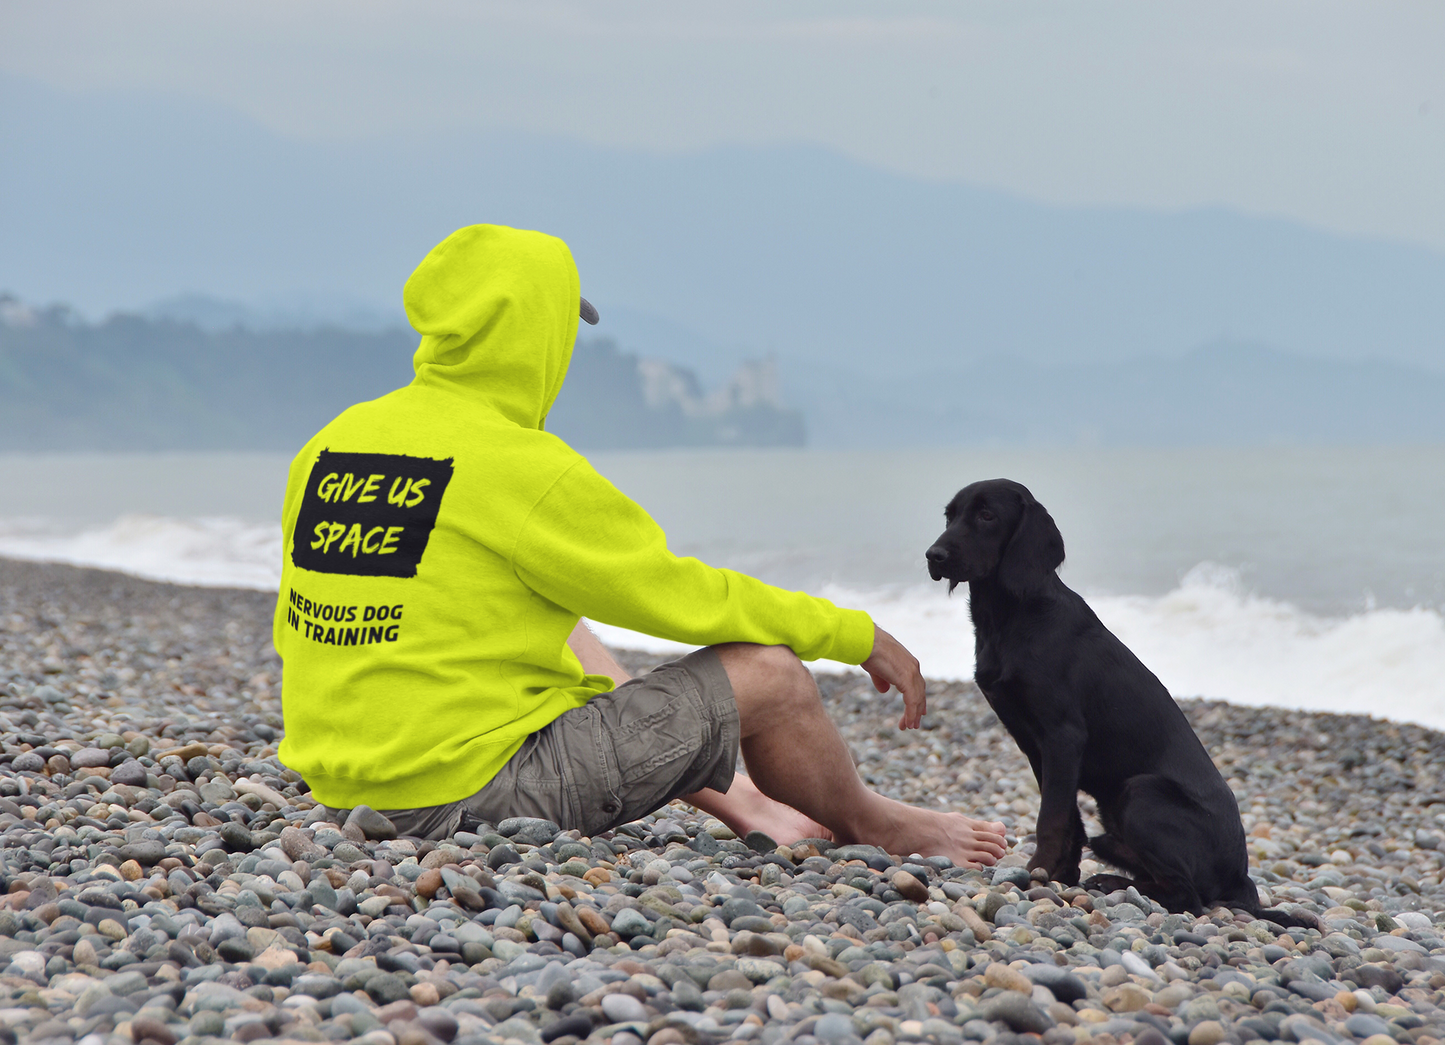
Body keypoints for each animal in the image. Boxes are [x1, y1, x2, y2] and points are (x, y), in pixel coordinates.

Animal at [924, 476, 1312, 925]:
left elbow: (1051, 817)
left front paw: (1040, 871)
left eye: (987, 515)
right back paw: (1111, 882)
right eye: (949, 516)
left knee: (1189, 896)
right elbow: (1067, 818)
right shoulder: (1036, 744)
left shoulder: (1063, 736)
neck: (1010, 617)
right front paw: (1063, 874)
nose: (933, 555)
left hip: (1139, 791)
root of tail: (1241, 876)